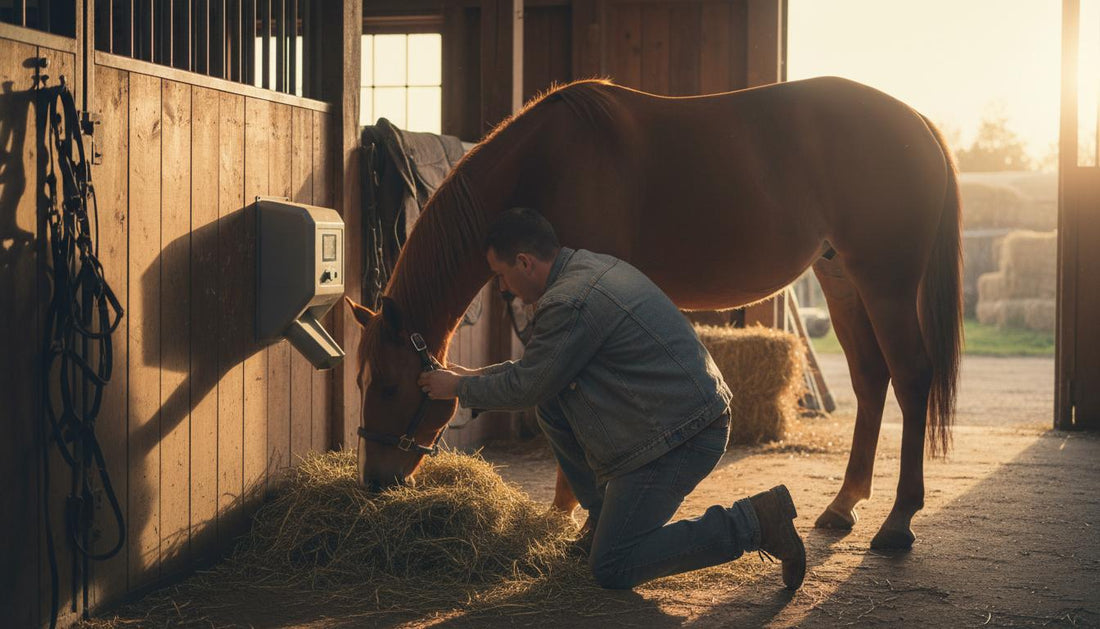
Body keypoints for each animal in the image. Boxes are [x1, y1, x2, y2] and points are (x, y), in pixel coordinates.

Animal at [345, 76, 962, 550]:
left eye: (390, 386)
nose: (373, 481)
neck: (545, 161)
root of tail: (918, 121)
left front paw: (573, 516)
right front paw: (568, 514)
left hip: (885, 282)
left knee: (911, 377)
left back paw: (898, 520)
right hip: (843, 281)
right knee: (871, 379)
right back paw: (844, 503)